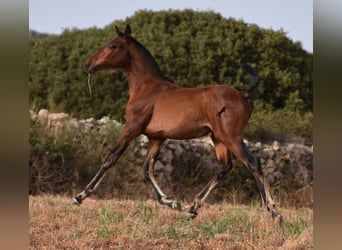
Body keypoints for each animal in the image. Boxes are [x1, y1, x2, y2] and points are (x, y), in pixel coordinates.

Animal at [72, 24, 280, 220]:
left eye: (112, 45)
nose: (87, 64)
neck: (147, 88)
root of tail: (243, 94)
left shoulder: (131, 128)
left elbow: (111, 158)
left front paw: (80, 196)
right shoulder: (156, 138)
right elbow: (147, 170)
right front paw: (171, 202)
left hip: (231, 137)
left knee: (253, 162)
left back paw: (274, 211)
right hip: (218, 138)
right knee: (225, 167)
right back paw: (193, 208)